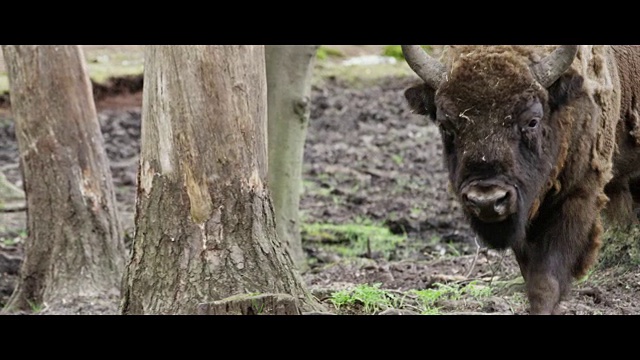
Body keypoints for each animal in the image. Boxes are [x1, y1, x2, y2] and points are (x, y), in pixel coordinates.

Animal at [402, 45, 640, 316]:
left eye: (532, 121)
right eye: (446, 126)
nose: (486, 200)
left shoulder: (579, 195)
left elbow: (546, 280)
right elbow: (530, 275)